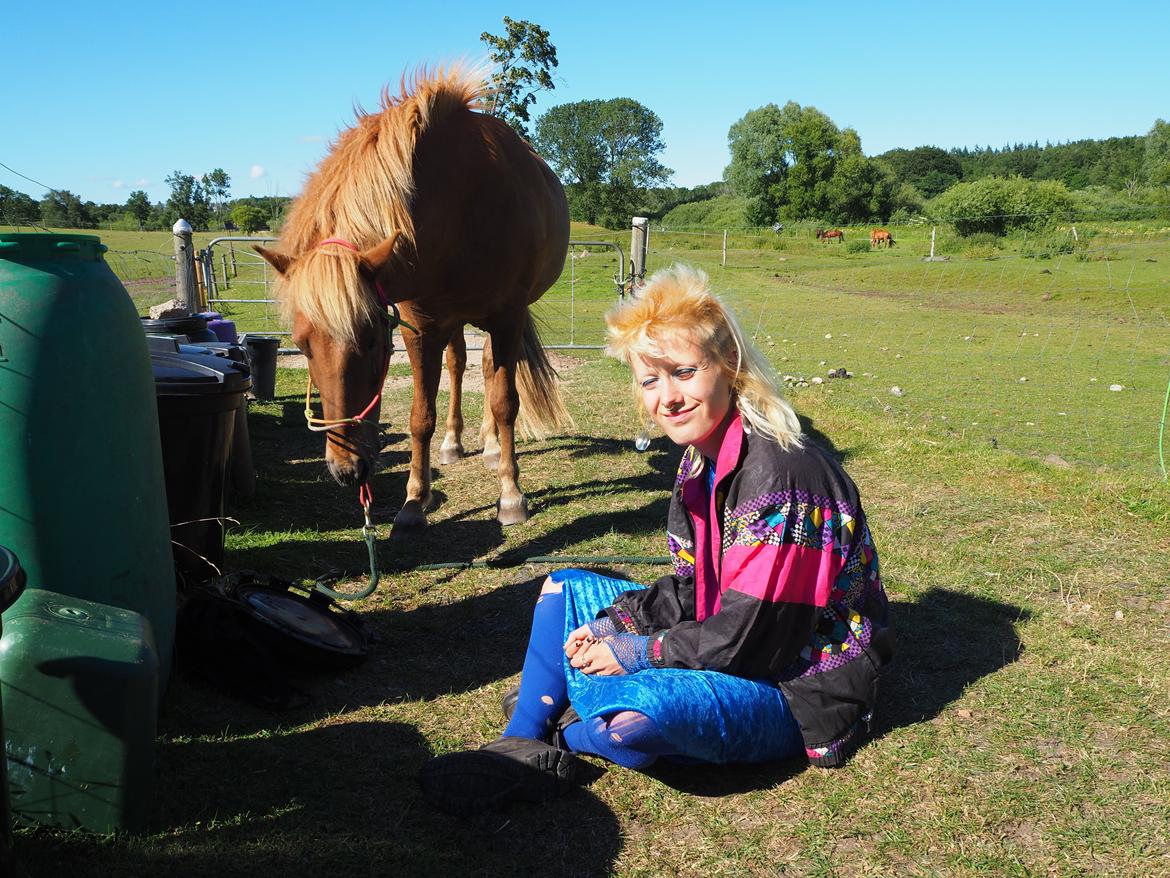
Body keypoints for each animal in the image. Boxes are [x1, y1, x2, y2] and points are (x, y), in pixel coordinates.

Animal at [256, 67, 570, 529]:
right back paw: (455, 443)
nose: (346, 471)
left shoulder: (507, 317)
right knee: (459, 363)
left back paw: (493, 448)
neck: (461, 204)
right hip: (453, 322)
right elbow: (421, 415)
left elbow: (504, 403)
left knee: (488, 370)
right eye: (301, 345)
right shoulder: (420, 328)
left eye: (371, 339)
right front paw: (413, 502)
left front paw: (511, 495)